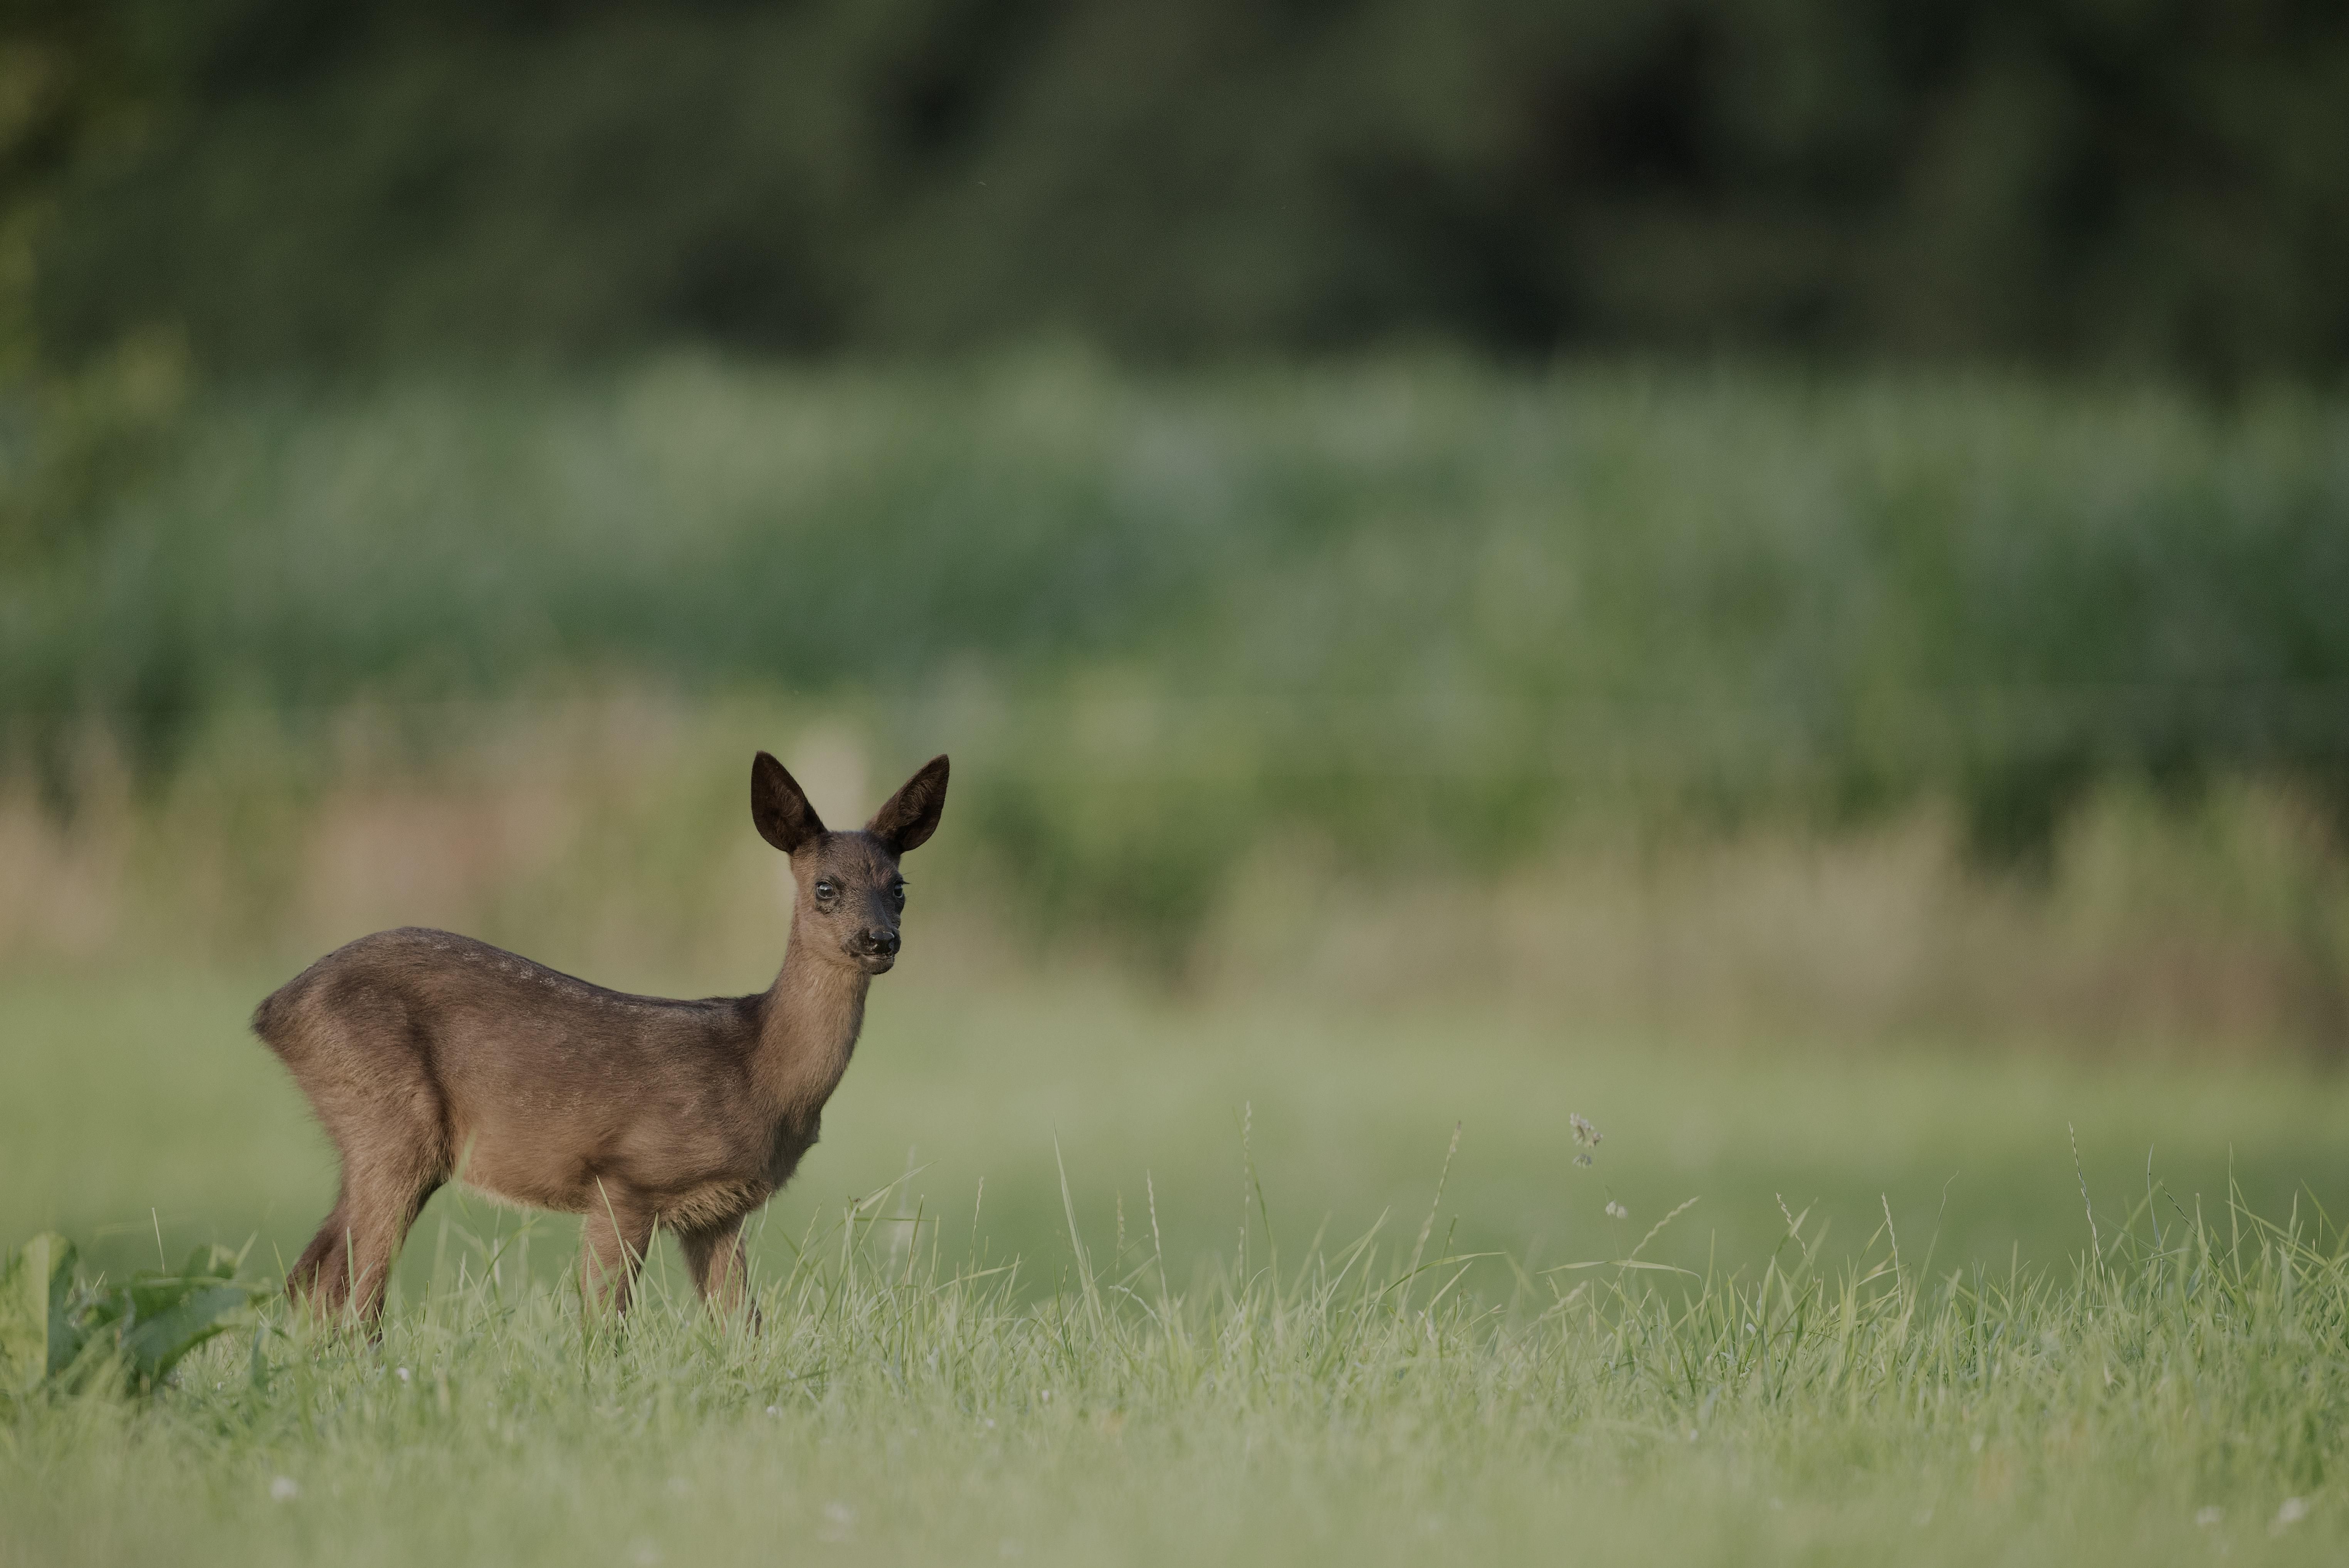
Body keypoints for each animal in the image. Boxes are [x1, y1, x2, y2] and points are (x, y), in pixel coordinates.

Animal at [252, 747, 949, 1326]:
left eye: (899, 888)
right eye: (826, 887)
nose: (880, 940)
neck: (758, 1068)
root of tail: (271, 1009)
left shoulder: (719, 1210)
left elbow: (743, 1324)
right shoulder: (626, 1175)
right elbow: (605, 1320)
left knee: (309, 1279)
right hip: (391, 1119)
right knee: (353, 1289)